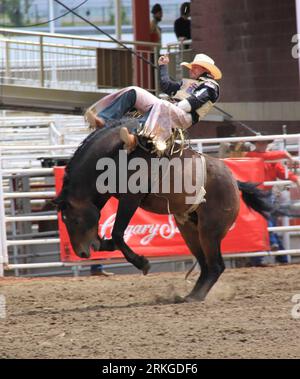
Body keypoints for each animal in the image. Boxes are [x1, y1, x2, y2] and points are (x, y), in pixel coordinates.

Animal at [53, 121, 270, 302]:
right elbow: (112, 237)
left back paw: (195, 296)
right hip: (189, 229)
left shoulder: (131, 198)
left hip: (210, 230)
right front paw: (104, 244)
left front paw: (142, 263)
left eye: (74, 220)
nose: (81, 252)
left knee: (216, 265)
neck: (116, 155)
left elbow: (117, 233)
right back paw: (189, 294)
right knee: (206, 265)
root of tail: (234, 182)